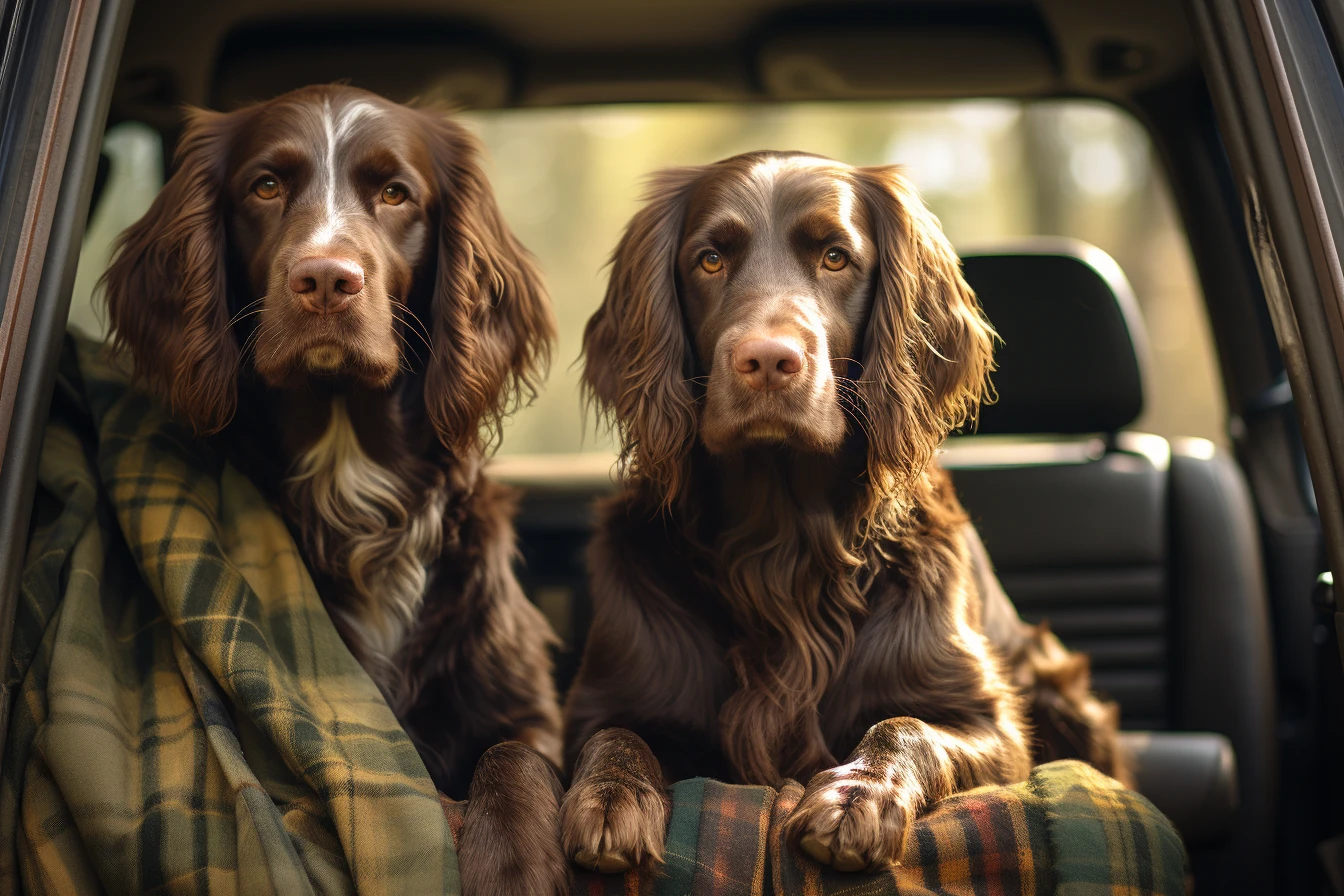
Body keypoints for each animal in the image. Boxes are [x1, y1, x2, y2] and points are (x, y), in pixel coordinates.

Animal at [99, 83, 569, 896]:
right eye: (264, 186)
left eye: (395, 193)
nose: (325, 280)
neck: (351, 478)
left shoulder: (525, 706)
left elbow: (513, 758)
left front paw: (513, 863)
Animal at [561, 150, 1128, 870]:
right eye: (709, 260)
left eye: (835, 257)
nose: (767, 360)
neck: (781, 542)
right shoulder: (602, 703)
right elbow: (614, 736)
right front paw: (610, 796)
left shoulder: (993, 726)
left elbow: (906, 726)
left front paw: (857, 795)